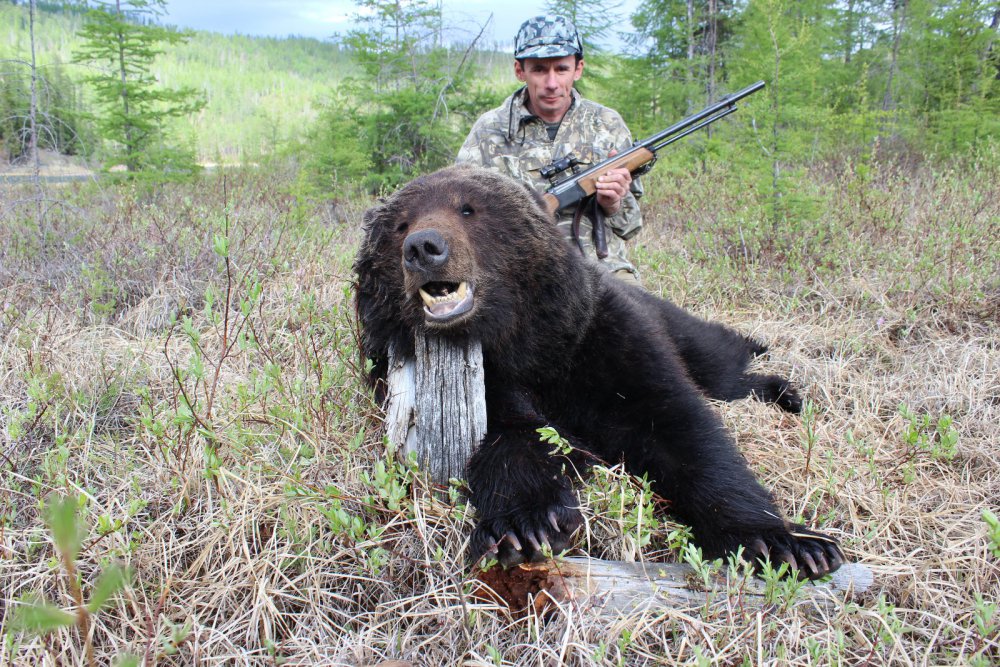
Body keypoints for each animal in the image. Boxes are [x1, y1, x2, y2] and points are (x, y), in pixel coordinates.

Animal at [354, 164, 845, 580]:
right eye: (400, 225)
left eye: (468, 208)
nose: (423, 247)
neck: (522, 341)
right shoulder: (488, 382)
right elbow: (512, 439)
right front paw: (525, 526)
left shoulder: (604, 339)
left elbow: (685, 431)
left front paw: (785, 543)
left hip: (679, 327)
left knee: (724, 369)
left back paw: (787, 390)